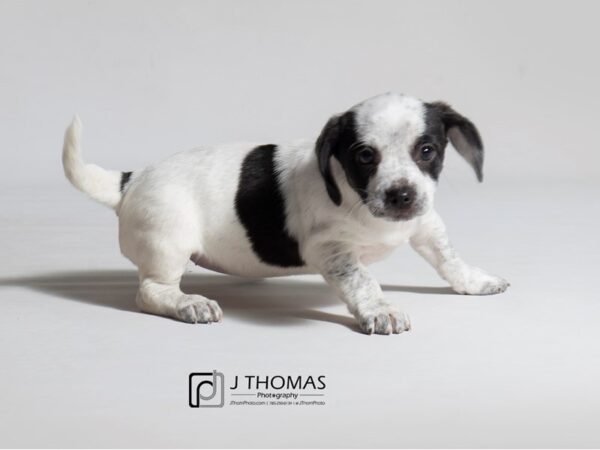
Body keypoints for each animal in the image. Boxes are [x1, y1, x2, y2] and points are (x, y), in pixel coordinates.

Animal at [63, 93, 508, 334]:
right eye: (365, 156)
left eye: (427, 150)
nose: (401, 195)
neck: (361, 201)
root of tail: (130, 179)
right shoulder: (331, 249)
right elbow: (363, 281)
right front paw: (380, 310)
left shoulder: (425, 222)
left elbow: (449, 258)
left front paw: (475, 281)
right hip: (168, 243)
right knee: (150, 291)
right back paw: (189, 304)